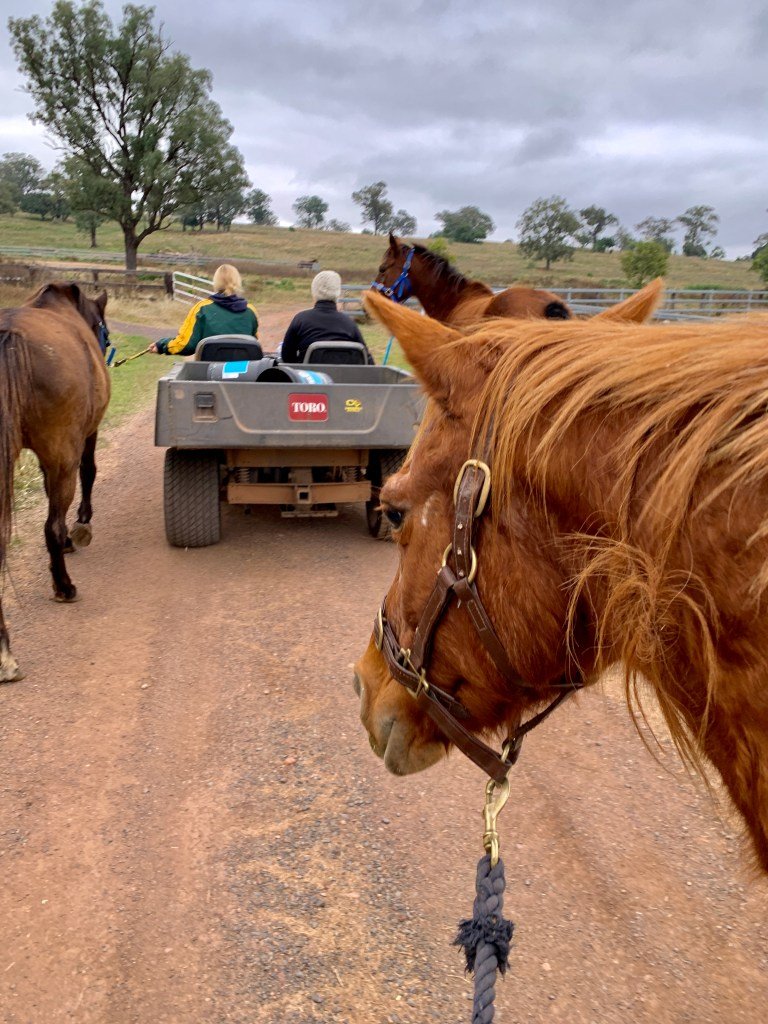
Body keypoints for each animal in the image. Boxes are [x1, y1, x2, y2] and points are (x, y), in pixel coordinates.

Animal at [0, 282, 111, 683]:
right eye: (101, 327)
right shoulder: (81, 439)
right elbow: (87, 473)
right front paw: (80, 526)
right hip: (62, 448)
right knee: (50, 524)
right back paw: (64, 587)